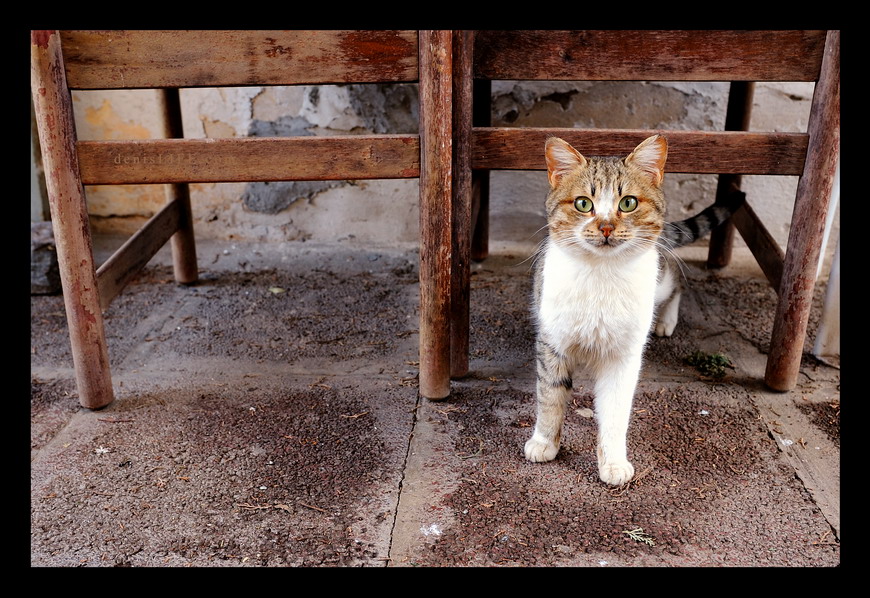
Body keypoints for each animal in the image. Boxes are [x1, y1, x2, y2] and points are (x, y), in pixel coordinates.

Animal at [520, 136, 744, 488]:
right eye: (583, 203)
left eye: (627, 203)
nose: (606, 226)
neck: (600, 275)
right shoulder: (552, 342)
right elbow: (550, 397)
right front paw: (544, 443)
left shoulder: (624, 356)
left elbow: (615, 413)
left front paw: (613, 462)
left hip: (660, 283)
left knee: (678, 279)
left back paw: (666, 320)